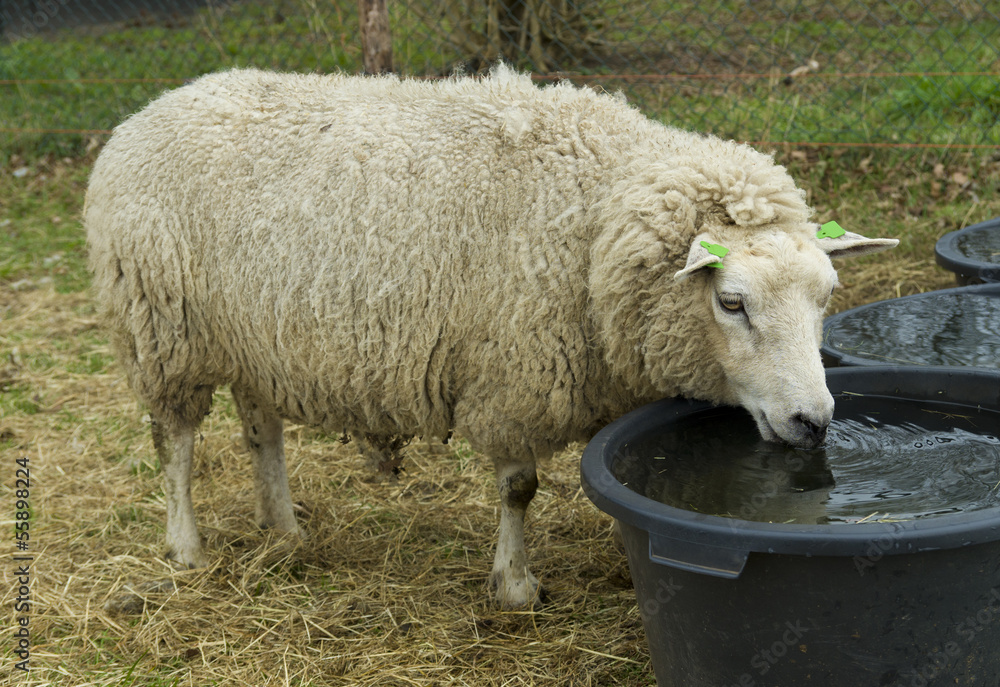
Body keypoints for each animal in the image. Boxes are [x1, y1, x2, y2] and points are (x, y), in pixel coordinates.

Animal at [84, 64, 897, 608]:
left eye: (827, 297)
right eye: (731, 302)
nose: (814, 421)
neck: (595, 217)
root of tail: (153, 107)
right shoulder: (512, 376)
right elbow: (520, 487)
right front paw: (515, 584)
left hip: (255, 335)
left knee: (262, 430)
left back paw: (283, 528)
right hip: (163, 330)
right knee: (174, 440)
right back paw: (185, 547)